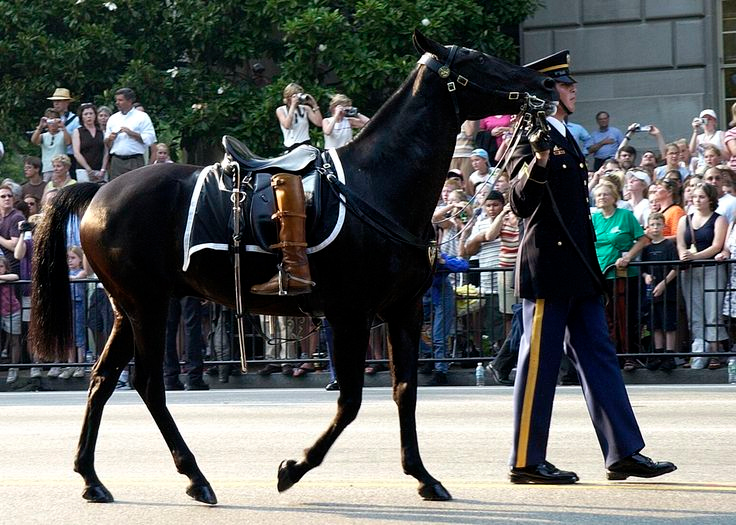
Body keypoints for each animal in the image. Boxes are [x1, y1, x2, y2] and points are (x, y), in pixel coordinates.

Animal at [31, 31, 556, 504]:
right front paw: (294, 468)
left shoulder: (402, 310)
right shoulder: (350, 314)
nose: (545, 82)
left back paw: (92, 478)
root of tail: (99, 191)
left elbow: (405, 389)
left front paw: (423, 475)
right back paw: (194, 477)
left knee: (102, 380)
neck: (377, 184)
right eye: (476, 59)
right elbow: (350, 400)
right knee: (146, 384)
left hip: (128, 308)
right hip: (148, 306)